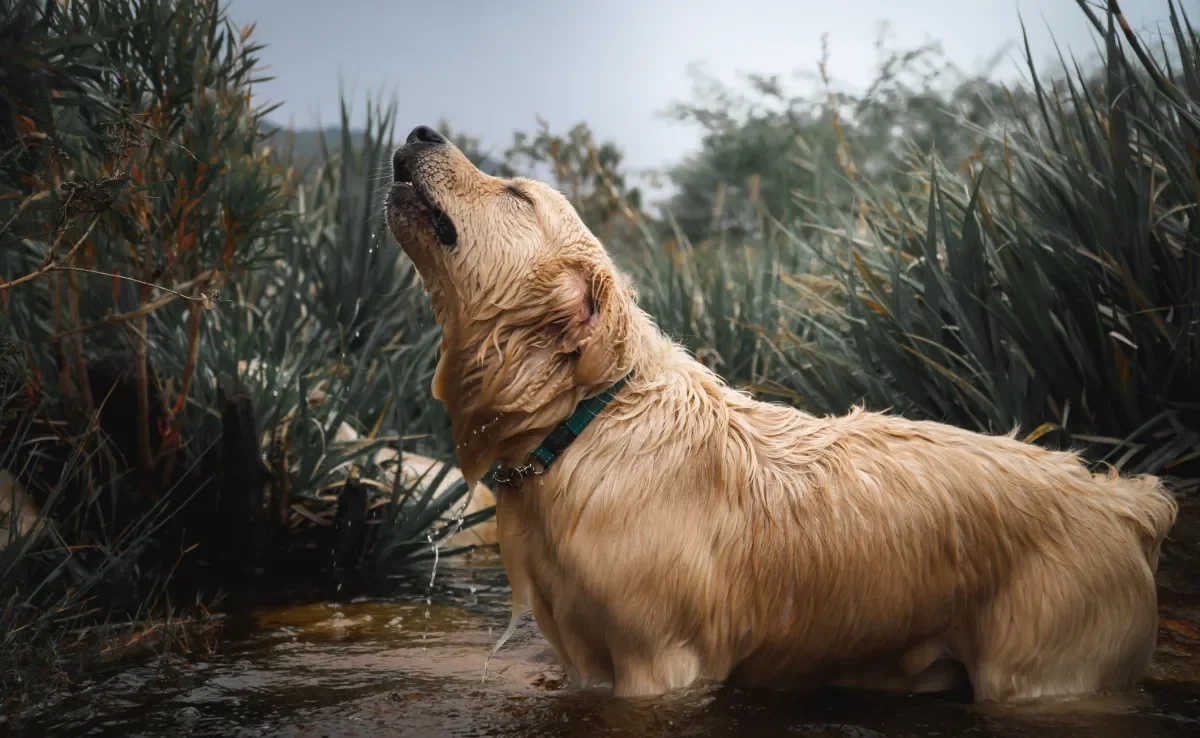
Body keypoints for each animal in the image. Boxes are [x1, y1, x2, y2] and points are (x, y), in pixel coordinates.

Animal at [386, 124, 1180, 700]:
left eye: (517, 195)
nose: (421, 131)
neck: (588, 419)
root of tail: (1127, 502)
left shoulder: (661, 662)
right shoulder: (585, 657)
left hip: (1048, 670)